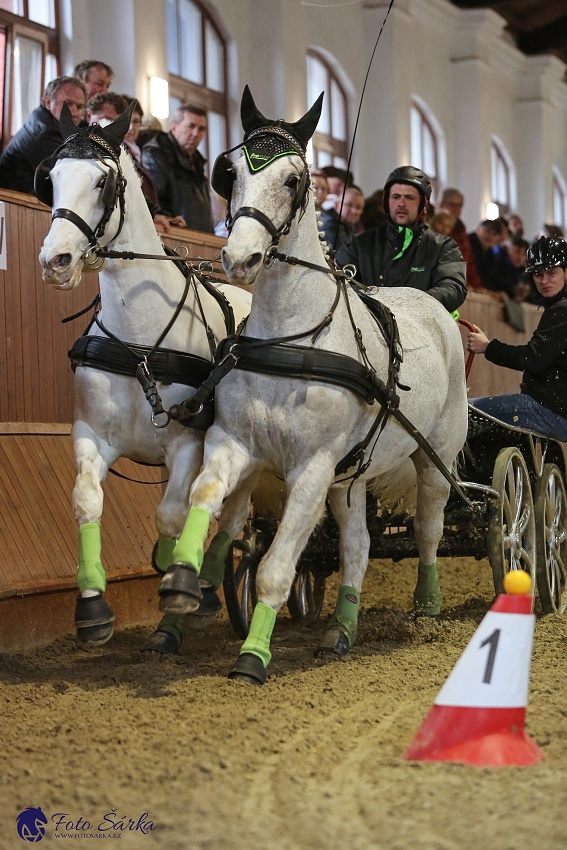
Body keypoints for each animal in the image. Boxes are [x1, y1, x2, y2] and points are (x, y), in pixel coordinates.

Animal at [38, 107, 252, 648]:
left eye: (103, 181)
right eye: (52, 178)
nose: (55, 262)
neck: (140, 343)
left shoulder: (187, 443)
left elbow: (173, 514)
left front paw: (180, 593)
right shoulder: (91, 434)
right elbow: (87, 500)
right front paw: (93, 605)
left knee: (233, 516)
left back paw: (210, 586)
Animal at [156, 88, 470, 684]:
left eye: (293, 180)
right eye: (230, 171)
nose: (239, 258)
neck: (291, 336)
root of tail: (432, 307)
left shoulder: (313, 465)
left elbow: (277, 567)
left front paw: (253, 657)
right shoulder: (236, 442)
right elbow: (207, 497)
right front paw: (184, 584)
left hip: (434, 454)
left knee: (429, 525)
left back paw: (428, 604)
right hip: (351, 476)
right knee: (357, 545)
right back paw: (341, 629)